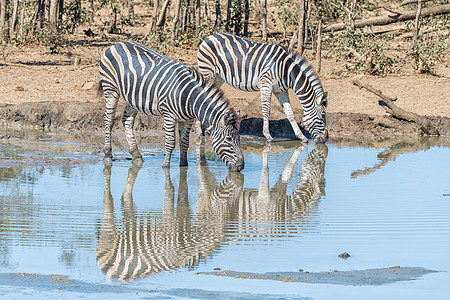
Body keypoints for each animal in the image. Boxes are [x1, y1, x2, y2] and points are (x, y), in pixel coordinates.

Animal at [98, 41, 244, 171]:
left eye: (239, 138)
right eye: (228, 139)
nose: (241, 166)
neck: (189, 97)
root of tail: (116, 44)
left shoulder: (188, 119)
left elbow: (184, 143)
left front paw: (184, 165)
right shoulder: (169, 116)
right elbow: (170, 142)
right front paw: (166, 166)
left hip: (132, 97)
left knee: (127, 121)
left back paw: (136, 154)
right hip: (111, 89)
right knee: (108, 120)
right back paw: (107, 154)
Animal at [197, 33, 326, 144]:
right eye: (323, 116)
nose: (325, 139)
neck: (286, 72)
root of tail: (209, 36)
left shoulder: (281, 91)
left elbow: (290, 113)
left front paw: (301, 137)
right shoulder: (266, 84)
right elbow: (266, 111)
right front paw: (268, 136)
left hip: (218, 77)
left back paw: (207, 129)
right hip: (207, 72)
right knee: (201, 93)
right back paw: (199, 132)